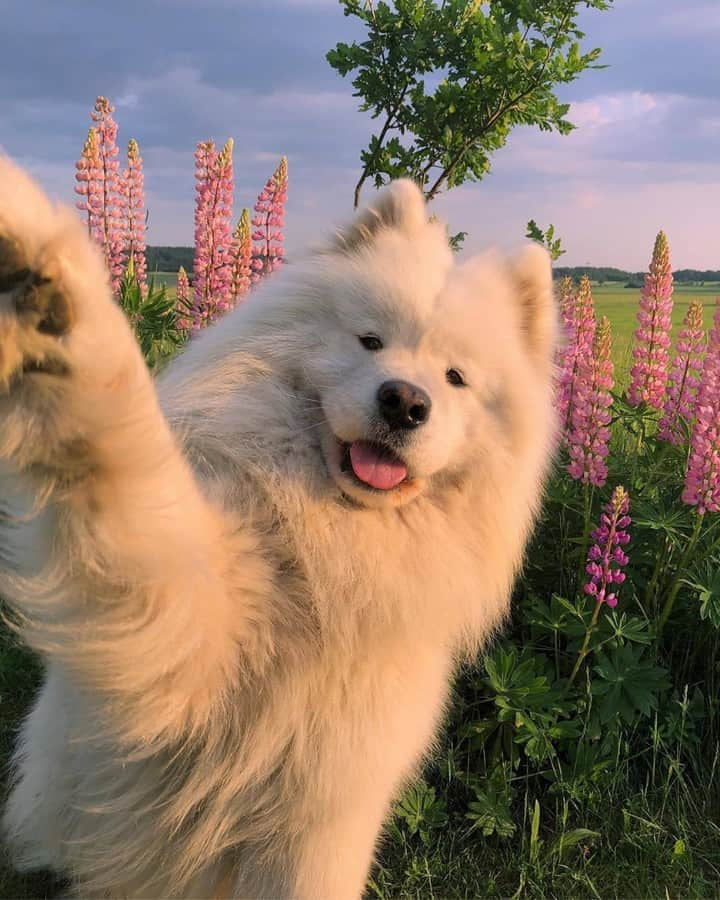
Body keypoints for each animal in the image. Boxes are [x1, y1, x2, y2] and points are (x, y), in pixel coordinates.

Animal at [0, 162, 556, 900]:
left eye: (455, 378)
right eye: (370, 340)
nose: (405, 402)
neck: (330, 553)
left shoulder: (316, 824)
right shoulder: (185, 627)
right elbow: (127, 453)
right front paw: (49, 297)